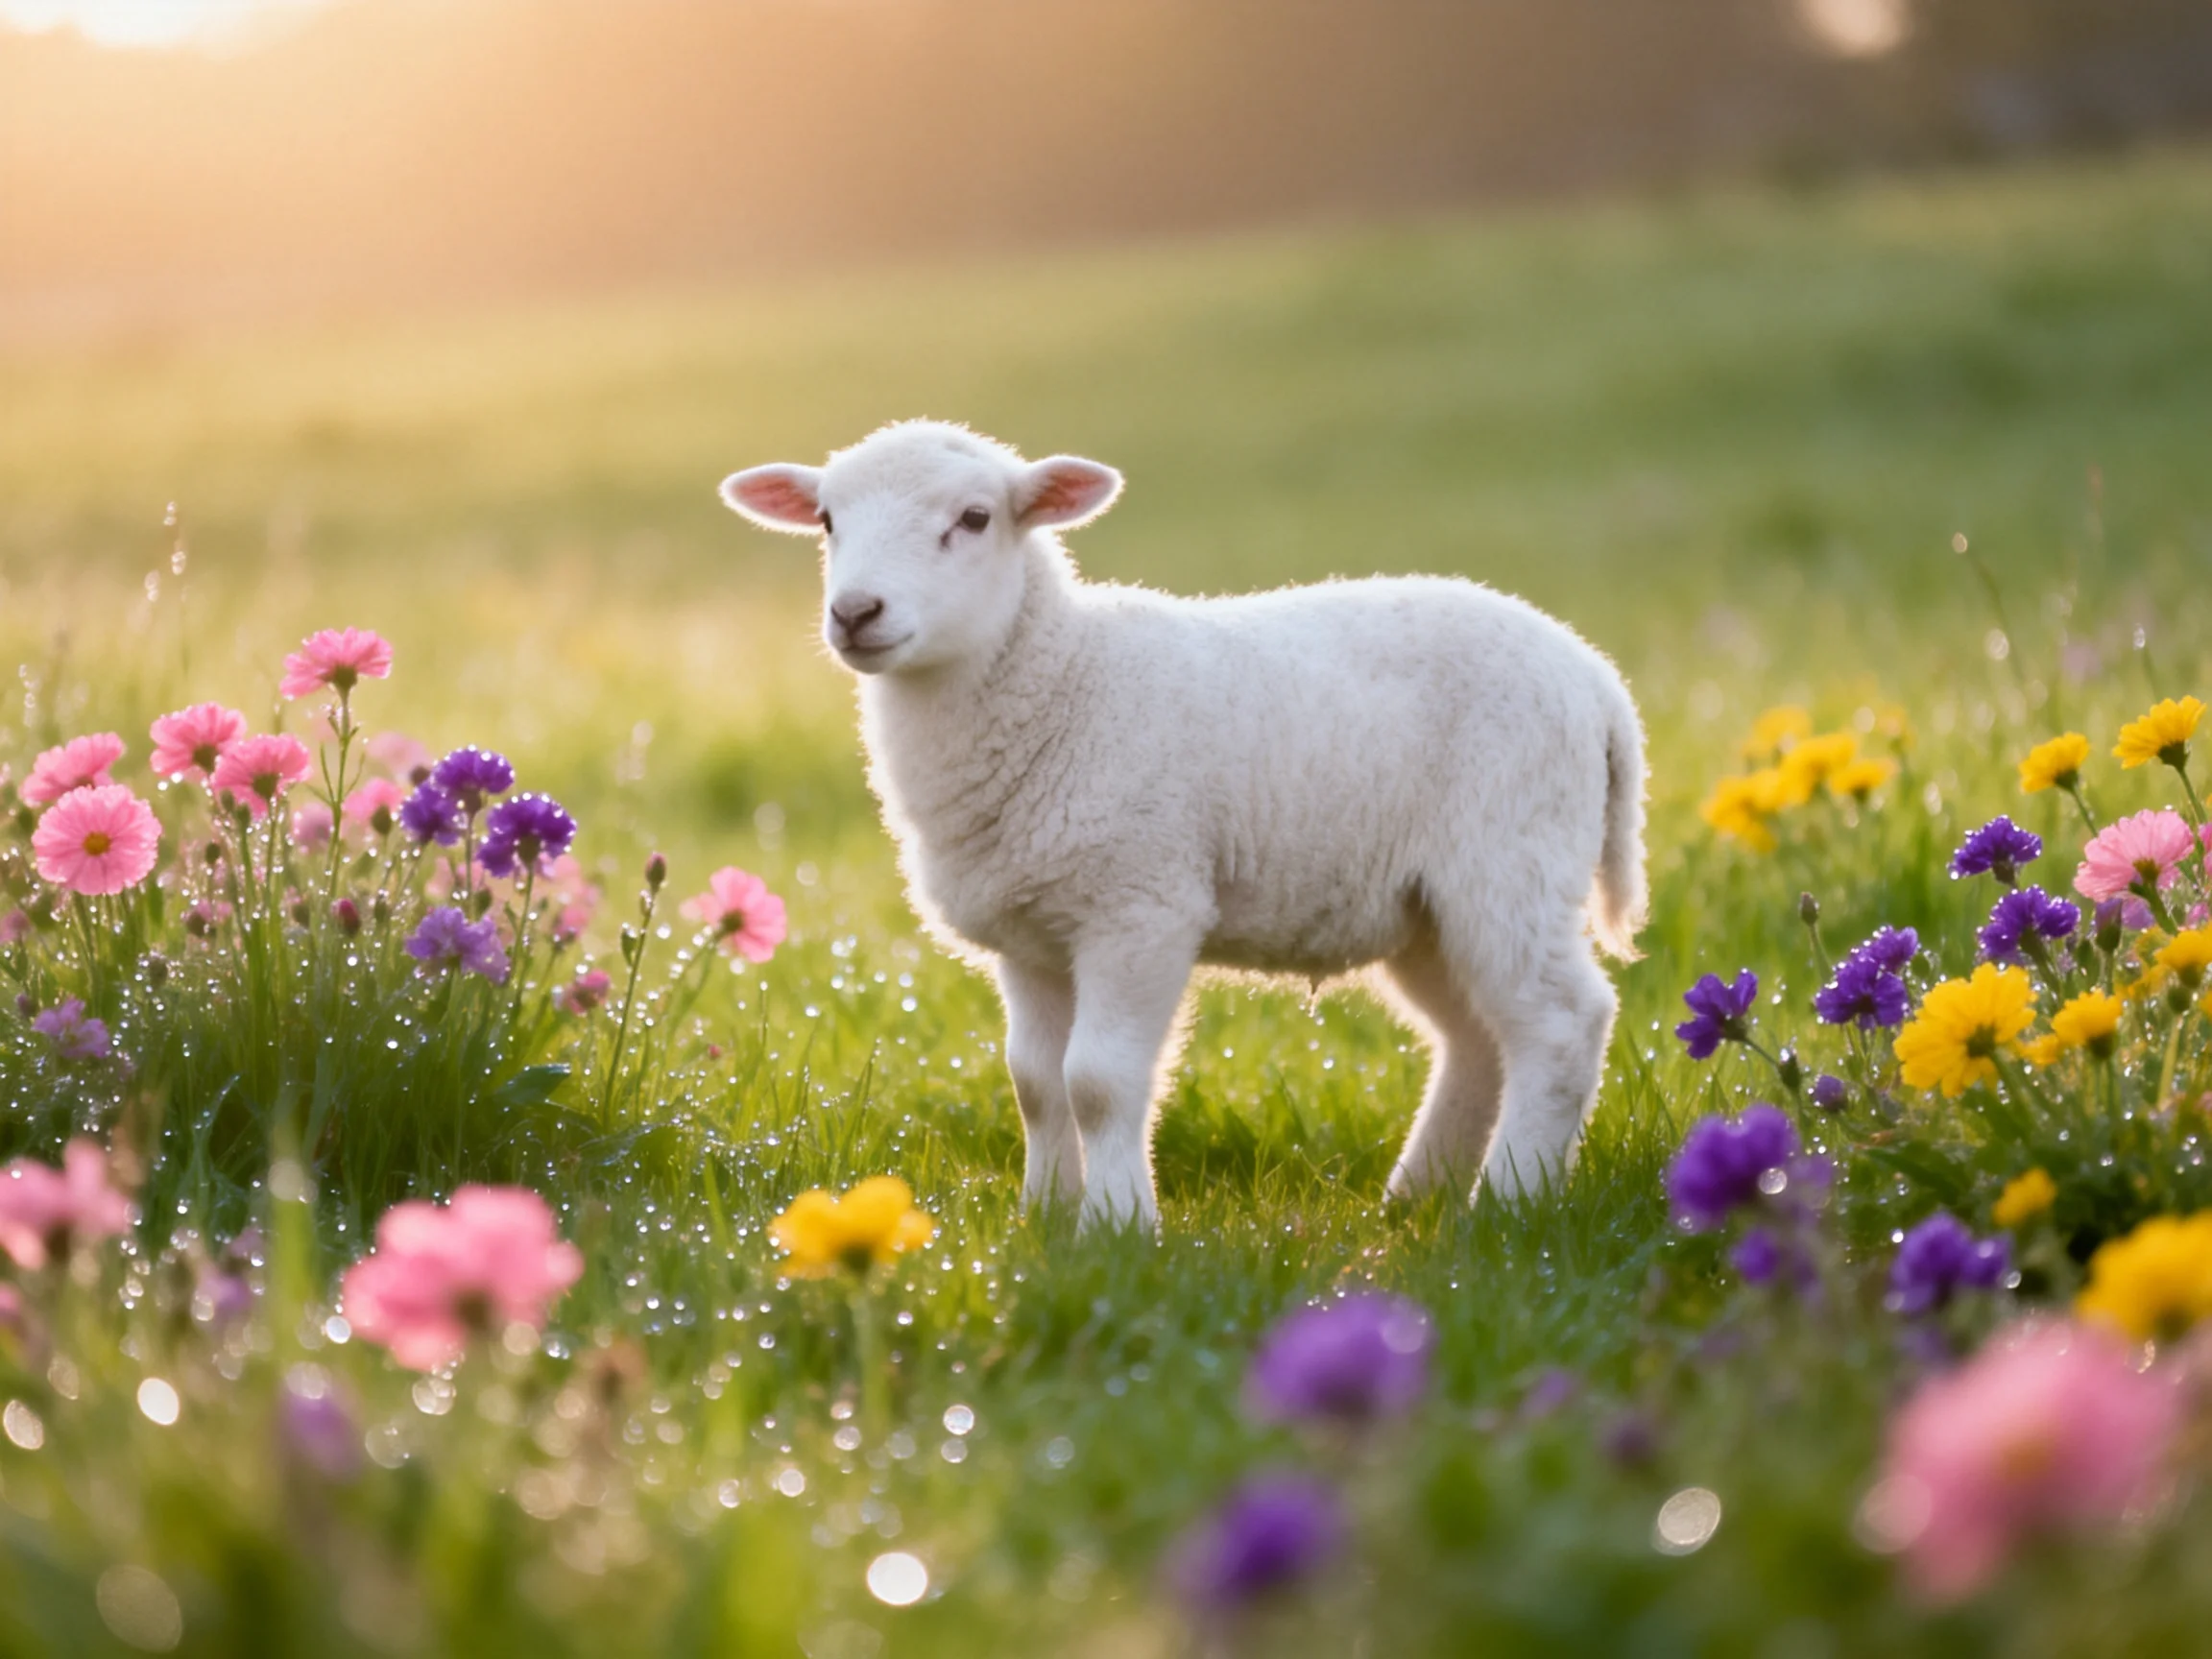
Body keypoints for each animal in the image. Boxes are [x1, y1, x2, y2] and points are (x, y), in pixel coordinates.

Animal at [720, 420, 1647, 1228]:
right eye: (828, 521)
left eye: (975, 518)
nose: (855, 613)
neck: (1061, 680)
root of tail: (1597, 680)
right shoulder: (1030, 935)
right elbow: (1035, 1084)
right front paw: (1043, 1217)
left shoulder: (1141, 906)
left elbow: (1096, 1082)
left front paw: (1118, 1226)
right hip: (1426, 908)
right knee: (1477, 1040)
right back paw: (1417, 1199)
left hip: (1510, 858)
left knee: (1561, 1023)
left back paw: (1509, 1202)